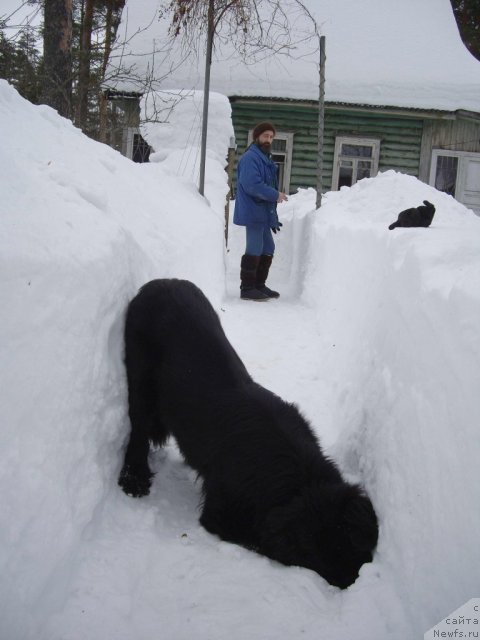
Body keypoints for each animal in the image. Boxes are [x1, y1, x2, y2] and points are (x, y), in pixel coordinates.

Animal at [117, 278, 378, 588]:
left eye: (352, 546)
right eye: (318, 557)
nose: (350, 581)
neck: (300, 480)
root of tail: (161, 282)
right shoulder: (221, 512)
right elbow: (258, 537)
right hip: (140, 375)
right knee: (138, 427)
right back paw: (134, 479)